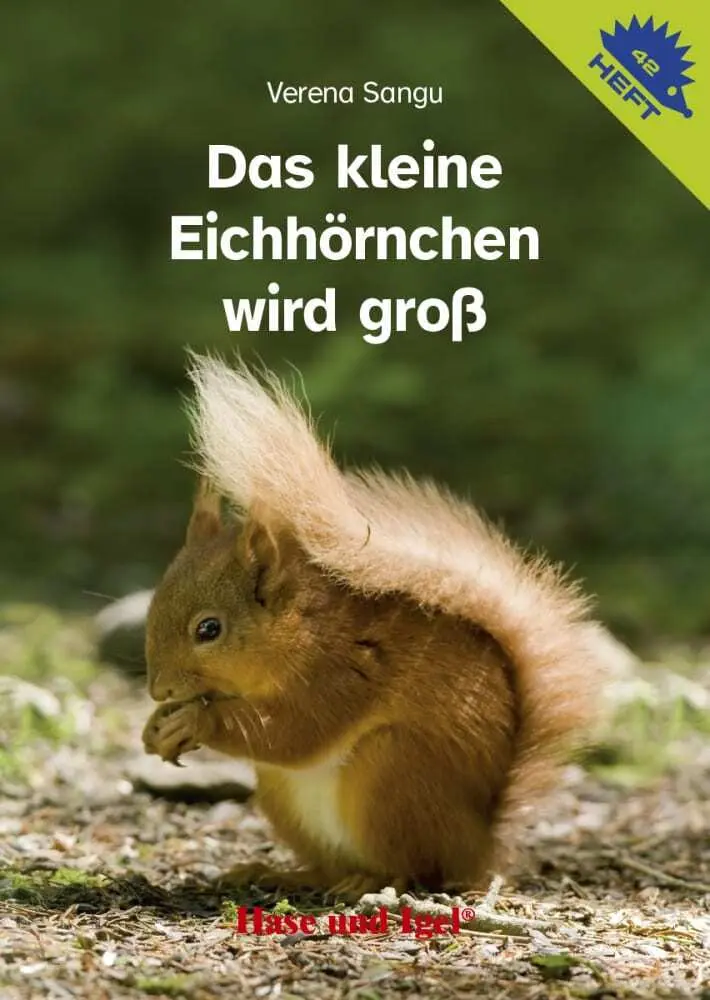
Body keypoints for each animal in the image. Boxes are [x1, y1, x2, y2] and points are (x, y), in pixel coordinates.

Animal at [142, 354, 607, 899]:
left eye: (209, 630)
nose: (157, 690)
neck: (299, 629)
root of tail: (480, 845)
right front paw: (156, 728)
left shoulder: (341, 672)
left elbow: (295, 732)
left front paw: (195, 722)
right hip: (285, 796)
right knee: (327, 865)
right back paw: (279, 871)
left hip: (392, 775)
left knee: (418, 867)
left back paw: (372, 880)